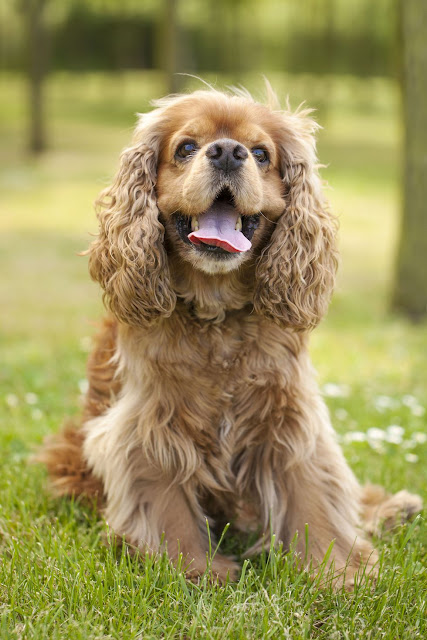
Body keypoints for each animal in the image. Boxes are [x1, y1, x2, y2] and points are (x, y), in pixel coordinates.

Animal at [41, 86, 424, 592]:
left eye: (261, 154)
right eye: (186, 147)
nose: (227, 151)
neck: (215, 314)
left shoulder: (289, 414)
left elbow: (313, 493)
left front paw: (336, 571)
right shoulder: (149, 423)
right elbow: (166, 504)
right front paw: (195, 571)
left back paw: (395, 508)